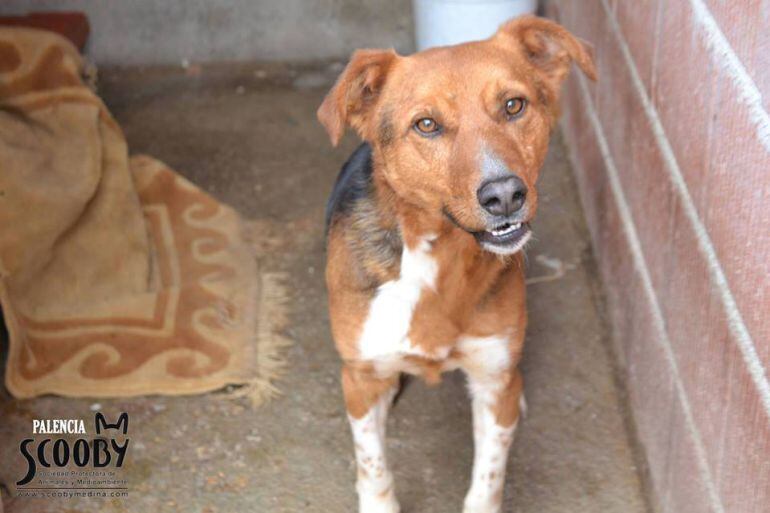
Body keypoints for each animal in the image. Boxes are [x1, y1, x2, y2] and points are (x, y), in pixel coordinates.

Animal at [316, 16, 592, 512]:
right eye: (426, 124)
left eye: (514, 105)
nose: (504, 195)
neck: (441, 256)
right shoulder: (360, 378)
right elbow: (373, 464)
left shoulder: (492, 379)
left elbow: (489, 475)